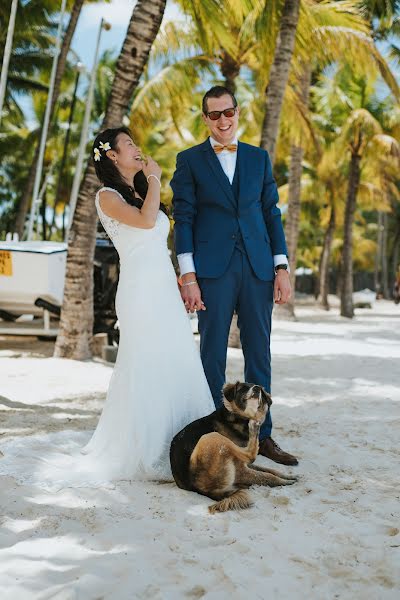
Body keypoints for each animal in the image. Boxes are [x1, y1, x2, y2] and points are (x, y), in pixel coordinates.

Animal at [169, 382, 296, 512]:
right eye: (243, 388)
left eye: (260, 389)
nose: (257, 388)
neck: (239, 419)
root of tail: (201, 490)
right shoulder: (241, 469)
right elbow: (266, 476)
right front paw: (284, 481)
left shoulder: (244, 464)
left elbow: (270, 470)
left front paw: (288, 476)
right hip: (211, 437)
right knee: (251, 455)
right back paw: (254, 428)